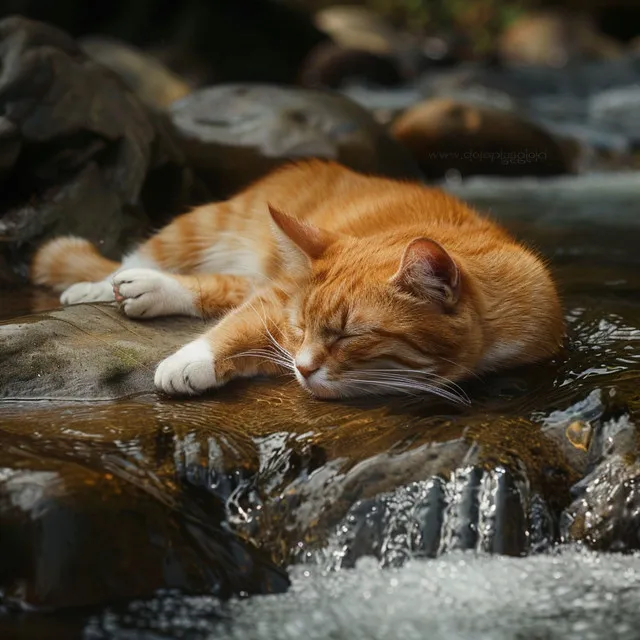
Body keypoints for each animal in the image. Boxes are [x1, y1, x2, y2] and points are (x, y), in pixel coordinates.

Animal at [30, 160, 564, 400]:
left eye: (349, 336)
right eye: (303, 327)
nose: (304, 370)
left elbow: (242, 319)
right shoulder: (280, 299)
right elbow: (237, 324)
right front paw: (187, 361)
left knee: (224, 285)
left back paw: (145, 288)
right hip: (197, 229)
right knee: (134, 260)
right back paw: (105, 285)